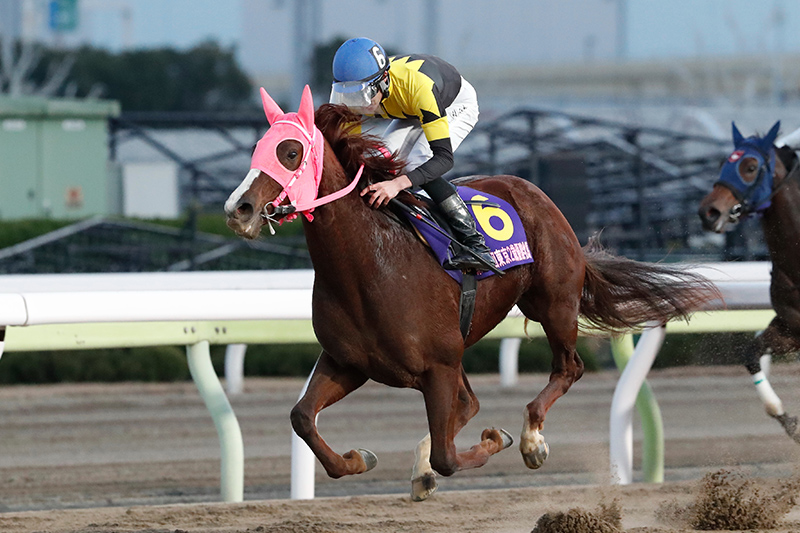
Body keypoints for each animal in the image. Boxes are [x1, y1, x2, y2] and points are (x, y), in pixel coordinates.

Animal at [225, 85, 720, 501]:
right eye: (257, 149)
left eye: (291, 152)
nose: (238, 210)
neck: (369, 266)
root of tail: (532, 190)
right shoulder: (349, 362)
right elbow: (302, 418)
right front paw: (357, 458)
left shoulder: (439, 365)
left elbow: (449, 456)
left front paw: (494, 439)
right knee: (469, 403)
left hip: (553, 304)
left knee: (567, 368)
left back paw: (530, 440)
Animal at [698, 121, 800, 443]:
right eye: (723, 163)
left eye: (751, 166)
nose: (709, 212)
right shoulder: (790, 328)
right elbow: (750, 355)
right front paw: (788, 421)